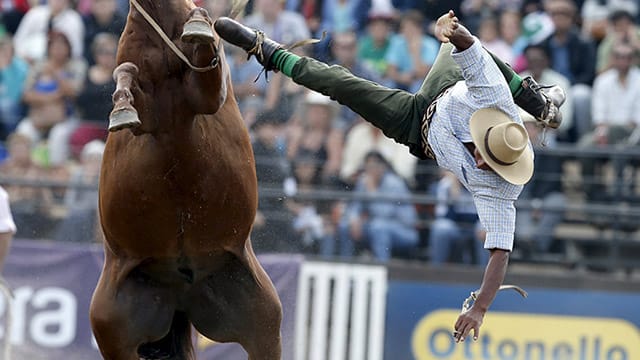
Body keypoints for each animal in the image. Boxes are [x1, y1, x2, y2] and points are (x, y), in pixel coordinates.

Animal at [90, 1, 282, 358]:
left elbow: (205, 62)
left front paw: (200, 25)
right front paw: (121, 109)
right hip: (112, 326)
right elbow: (125, 74)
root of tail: (181, 292)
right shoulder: (148, 115)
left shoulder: (206, 95)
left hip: (263, 321)